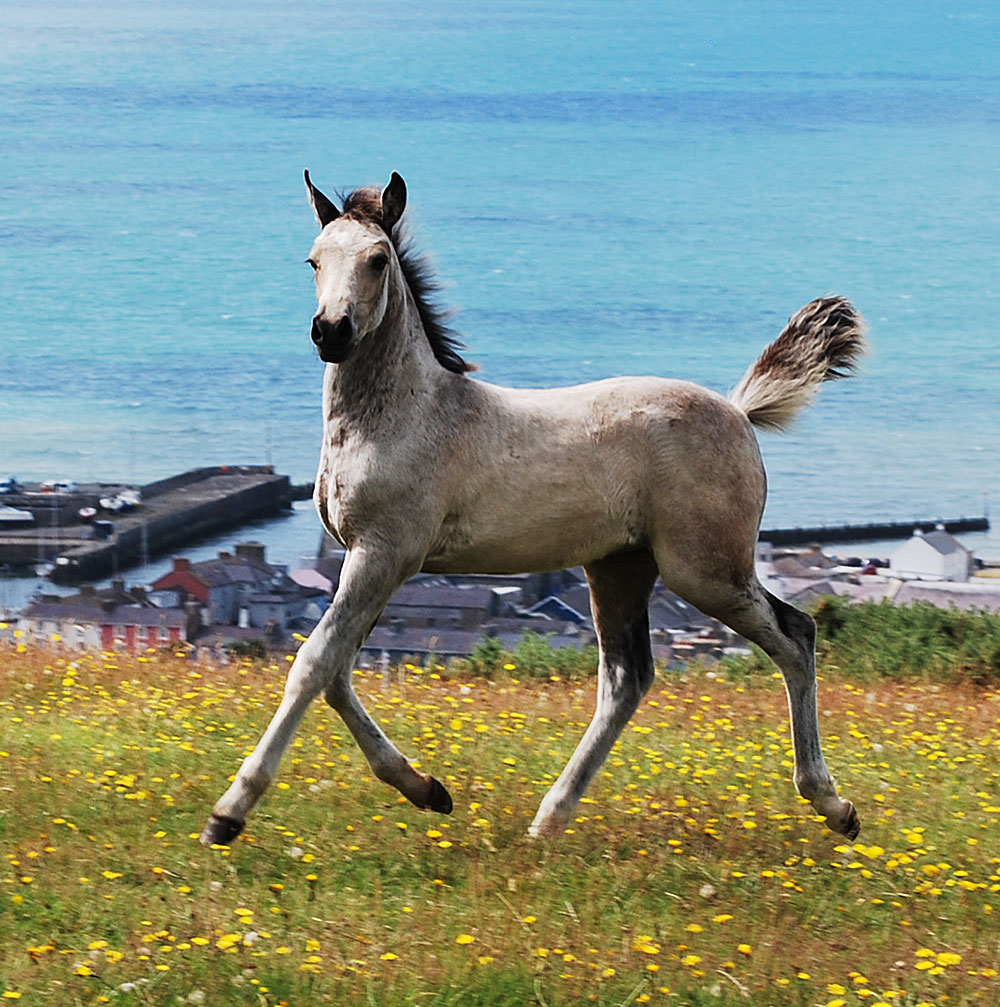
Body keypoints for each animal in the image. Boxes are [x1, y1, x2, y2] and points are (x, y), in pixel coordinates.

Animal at [199, 173, 862, 849]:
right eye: (313, 260)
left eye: (378, 260)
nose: (330, 331)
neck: (403, 417)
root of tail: (738, 411)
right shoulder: (366, 560)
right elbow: (337, 672)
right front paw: (428, 790)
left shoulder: (385, 553)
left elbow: (314, 665)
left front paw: (229, 812)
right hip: (620, 567)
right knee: (627, 680)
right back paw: (549, 820)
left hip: (704, 569)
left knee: (795, 636)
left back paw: (833, 804)